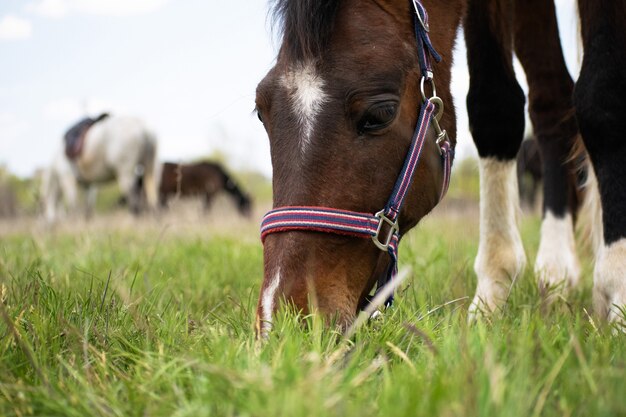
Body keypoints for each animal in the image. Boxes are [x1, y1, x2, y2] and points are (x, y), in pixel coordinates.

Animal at [252, 0, 624, 334]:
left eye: (380, 114)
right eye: (261, 111)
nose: (285, 320)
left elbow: (602, 99)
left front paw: (618, 297)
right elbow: (494, 107)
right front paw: (491, 297)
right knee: (552, 102)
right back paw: (556, 277)